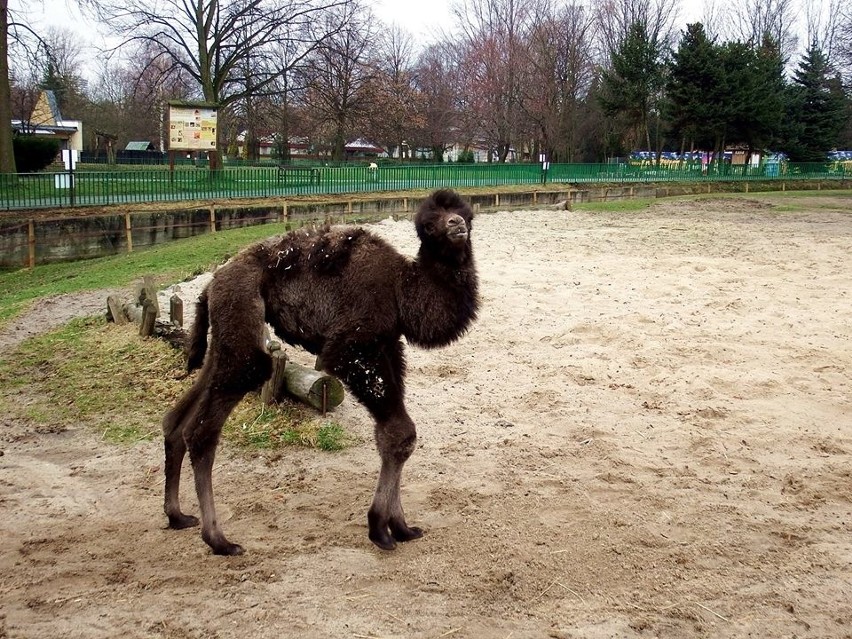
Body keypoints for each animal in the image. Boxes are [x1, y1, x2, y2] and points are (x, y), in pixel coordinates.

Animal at [160, 189, 480, 556]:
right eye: (429, 224)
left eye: (465, 213)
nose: (456, 225)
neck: (402, 288)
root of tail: (211, 283)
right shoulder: (352, 346)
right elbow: (400, 433)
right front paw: (379, 528)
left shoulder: (388, 344)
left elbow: (393, 435)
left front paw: (401, 526)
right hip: (242, 312)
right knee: (206, 425)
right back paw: (219, 540)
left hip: (226, 330)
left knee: (177, 419)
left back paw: (177, 515)